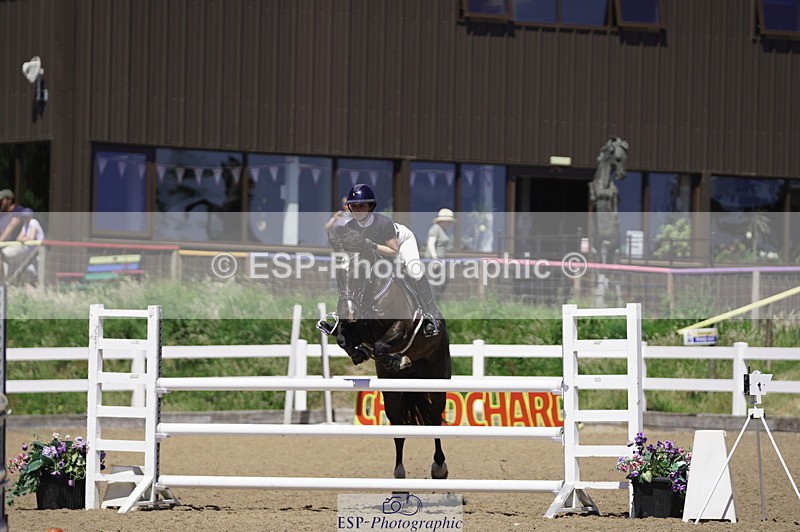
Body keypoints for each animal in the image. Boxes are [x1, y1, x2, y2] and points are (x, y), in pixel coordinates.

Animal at [318, 225, 452, 480]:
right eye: (337, 271)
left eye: (360, 269)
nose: (348, 311)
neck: (370, 293)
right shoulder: (352, 329)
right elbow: (343, 339)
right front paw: (360, 354)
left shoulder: (401, 327)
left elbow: (381, 346)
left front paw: (397, 359)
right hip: (392, 392)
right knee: (397, 423)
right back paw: (399, 470)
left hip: (437, 377)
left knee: (434, 417)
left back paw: (439, 466)